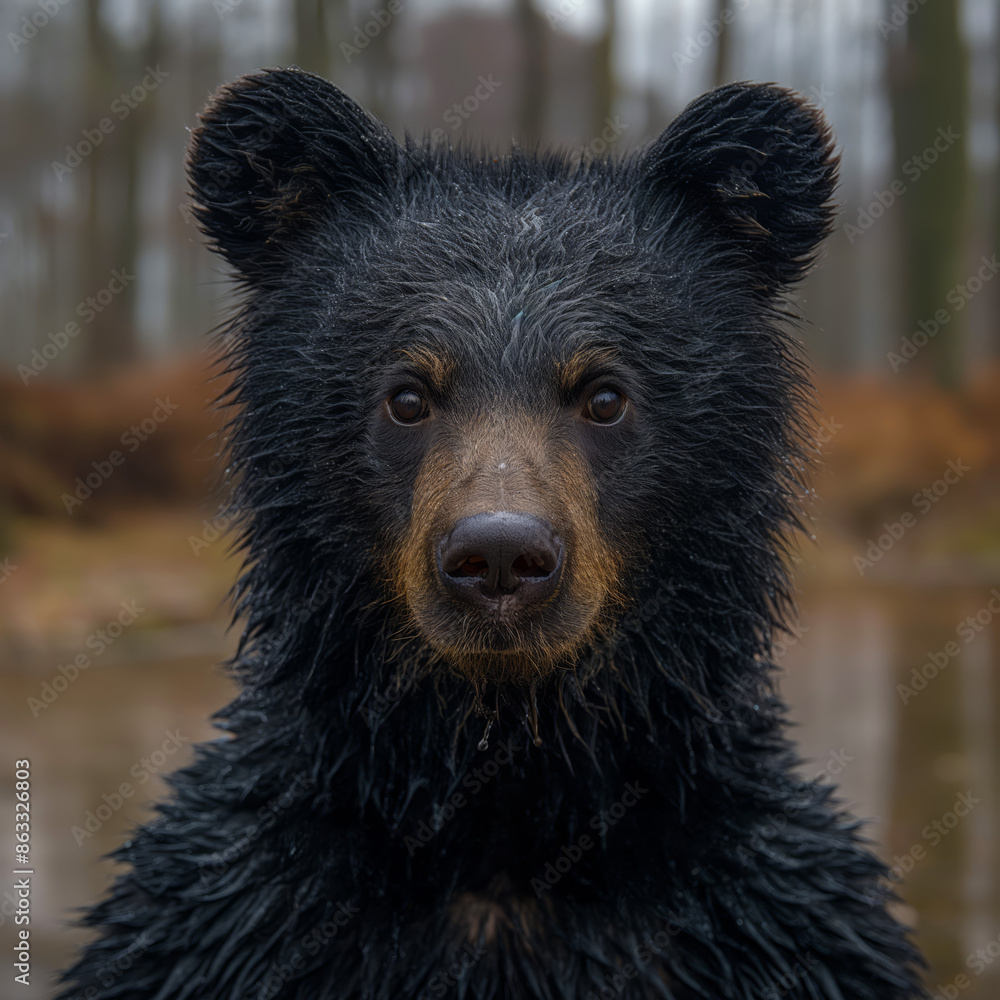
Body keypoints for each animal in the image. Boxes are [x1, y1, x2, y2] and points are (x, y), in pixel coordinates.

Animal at [57, 69, 926, 1000]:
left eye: (605, 395)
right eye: (407, 395)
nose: (502, 556)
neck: (501, 816)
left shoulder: (766, 923)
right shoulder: (234, 917)